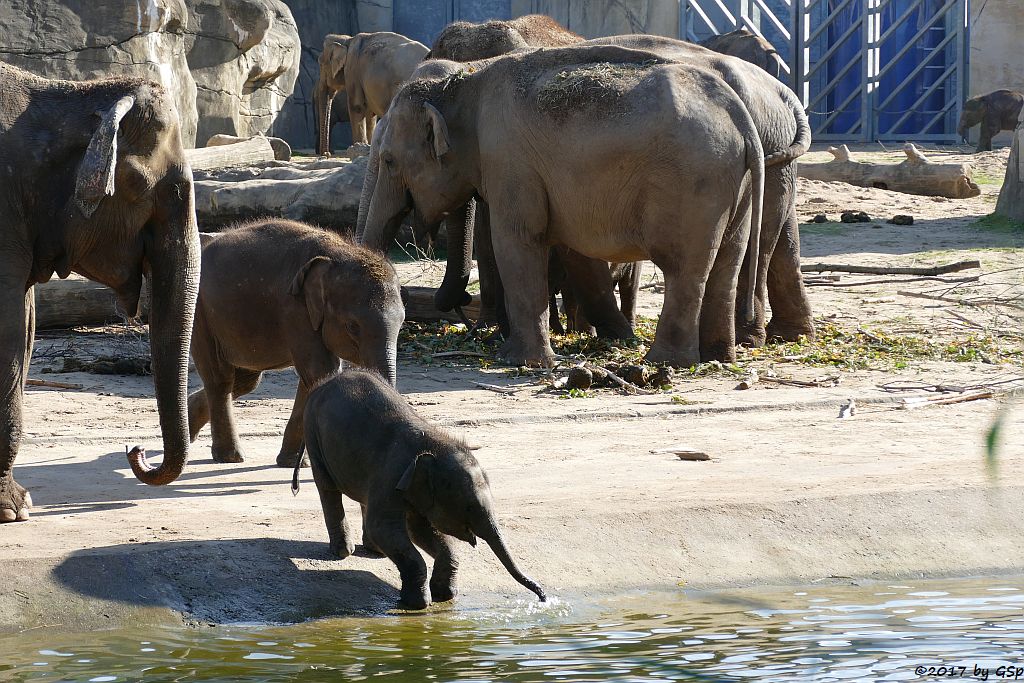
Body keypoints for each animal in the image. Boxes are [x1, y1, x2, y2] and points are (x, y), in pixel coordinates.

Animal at [0, 65, 201, 524]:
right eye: (147, 185)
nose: (135, 449)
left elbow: (26, 327)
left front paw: (18, 506)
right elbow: (9, 330)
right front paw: (13, 511)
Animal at [188, 219, 403, 471]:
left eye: (402, 322)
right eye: (352, 326)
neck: (339, 251)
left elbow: (315, 377)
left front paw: (293, 463)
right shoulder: (294, 309)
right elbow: (321, 370)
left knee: (245, 380)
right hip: (200, 314)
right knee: (220, 378)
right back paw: (229, 457)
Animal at [299, 368, 548, 610]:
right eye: (469, 507)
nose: (543, 596)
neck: (434, 443)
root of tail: (323, 383)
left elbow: (421, 530)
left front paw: (445, 595)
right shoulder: (390, 477)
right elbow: (384, 529)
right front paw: (417, 604)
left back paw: (375, 551)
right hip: (312, 432)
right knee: (328, 488)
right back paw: (342, 552)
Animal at [360, 46, 761, 368]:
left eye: (390, 161)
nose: (462, 303)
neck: (467, 77)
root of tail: (740, 114)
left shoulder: (509, 160)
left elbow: (517, 242)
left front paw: (520, 361)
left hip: (692, 183)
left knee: (683, 268)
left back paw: (665, 362)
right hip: (731, 183)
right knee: (727, 264)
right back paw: (718, 358)